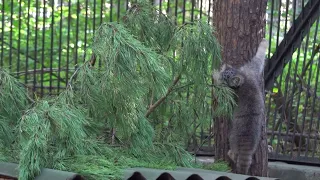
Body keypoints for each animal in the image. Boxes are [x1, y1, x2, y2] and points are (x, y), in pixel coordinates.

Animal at [214, 39, 268, 174]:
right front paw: (264, 43)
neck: (243, 78)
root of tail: (247, 141)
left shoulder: (231, 95)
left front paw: (214, 75)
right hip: (256, 141)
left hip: (232, 136)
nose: (220, 75)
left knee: (234, 153)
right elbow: (258, 59)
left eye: (225, 80)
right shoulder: (251, 70)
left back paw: (231, 153)